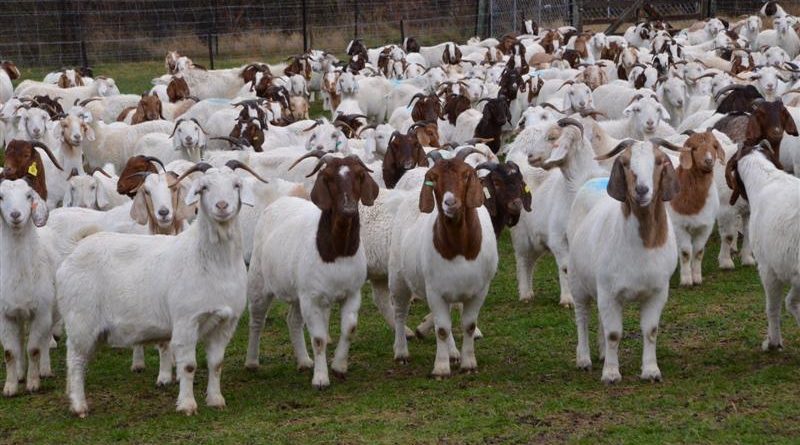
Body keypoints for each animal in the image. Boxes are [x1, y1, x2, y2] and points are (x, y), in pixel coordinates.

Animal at [57, 160, 266, 417]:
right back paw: (79, 406)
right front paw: (187, 405)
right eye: (204, 187)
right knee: (75, 361)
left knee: (78, 362)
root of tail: (74, 252)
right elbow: (188, 366)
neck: (210, 260)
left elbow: (216, 364)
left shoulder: (225, 323)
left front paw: (216, 400)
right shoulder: (186, 321)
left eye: (236, 185)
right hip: (80, 320)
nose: (222, 206)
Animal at [246, 153, 379, 388]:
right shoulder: (312, 297)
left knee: (293, 320)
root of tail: (278, 201)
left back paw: (304, 361)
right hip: (258, 281)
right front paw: (321, 378)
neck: (336, 253)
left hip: (298, 292)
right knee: (257, 319)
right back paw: (252, 362)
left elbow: (349, 329)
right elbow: (318, 339)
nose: (348, 209)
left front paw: (339, 366)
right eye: (328, 177)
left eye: (360, 175)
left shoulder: (351, 293)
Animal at [389, 149, 498, 377]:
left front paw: (468, 363)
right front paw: (440, 367)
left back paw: (454, 352)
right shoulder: (434, 291)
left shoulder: (479, 289)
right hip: (398, 277)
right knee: (400, 312)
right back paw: (401, 352)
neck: (459, 249)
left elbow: (468, 325)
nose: (450, 203)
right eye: (434, 177)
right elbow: (442, 329)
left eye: (466, 175)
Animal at [568, 138, 683, 384]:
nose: (641, 190)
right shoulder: (609, 291)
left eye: (659, 161)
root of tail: (591, 181)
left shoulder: (657, 292)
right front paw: (611, 374)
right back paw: (584, 359)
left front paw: (651, 371)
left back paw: (602, 354)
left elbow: (650, 331)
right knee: (582, 317)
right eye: (625, 162)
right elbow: (614, 334)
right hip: (576, 279)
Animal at [725, 140, 800, 352]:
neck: (766, 180)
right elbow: (791, 302)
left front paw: (773, 342)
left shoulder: (768, 269)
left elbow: (773, 308)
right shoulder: (791, 272)